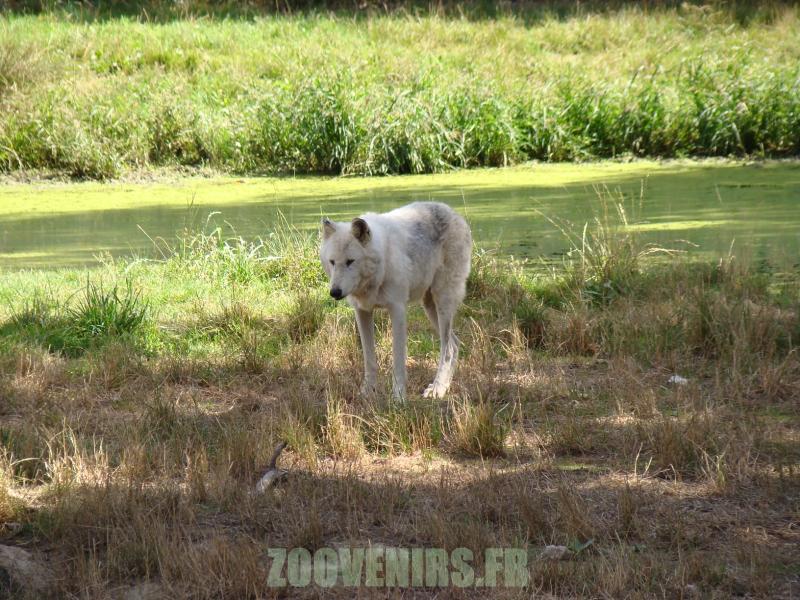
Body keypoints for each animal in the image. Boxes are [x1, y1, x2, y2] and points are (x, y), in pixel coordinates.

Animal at [320, 202, 472, 400]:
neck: (382, 264)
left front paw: (399, 397)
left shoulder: (398, 310)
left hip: (442, 303)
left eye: (350, 261)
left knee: (448, 349)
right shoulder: (362, 312)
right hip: (430, 307)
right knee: (455, 344)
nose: (335, 292)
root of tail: (454, 213)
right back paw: (442, 387)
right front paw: (367, 392)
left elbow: (398, 360)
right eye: (332, 262)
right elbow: (369, 359)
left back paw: (437, 389)